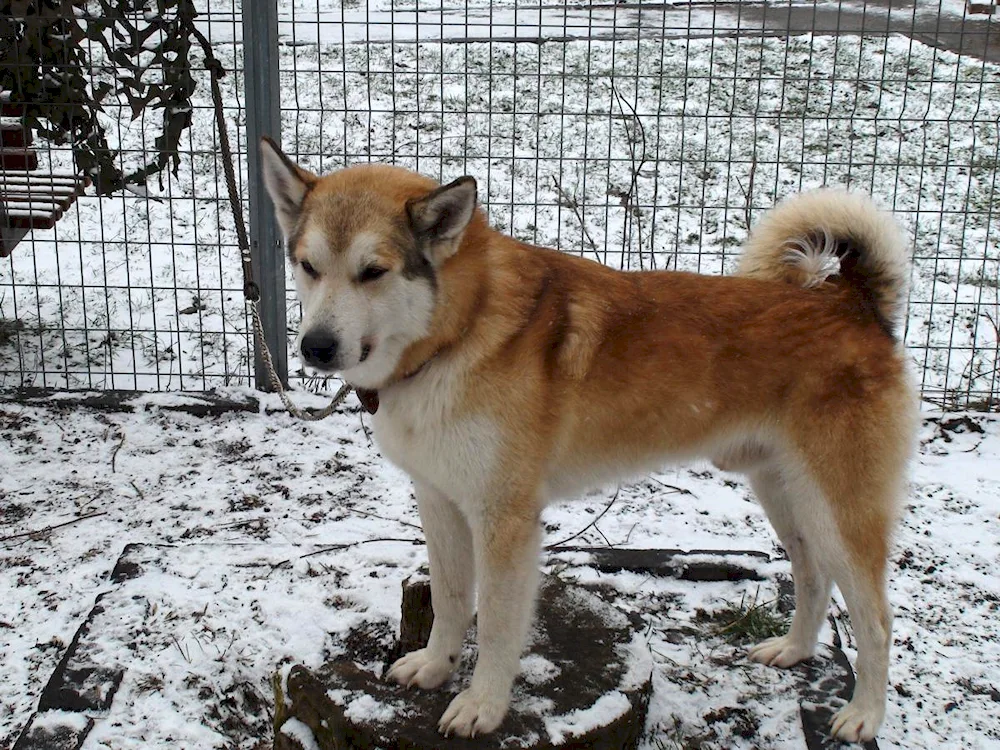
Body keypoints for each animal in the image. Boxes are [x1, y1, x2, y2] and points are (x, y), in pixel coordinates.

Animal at [262, 140, 916, 748]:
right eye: (308, 266)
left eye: (373, 271)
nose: (315, 347)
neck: (457, 332)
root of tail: (851, 304)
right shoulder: (440, 501)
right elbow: (448, 601)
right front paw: (434, 667)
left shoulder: (505, 521)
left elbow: (494, 624)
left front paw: (482, 706)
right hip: (786, 495)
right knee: (812, 576)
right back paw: (795, 651)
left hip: (839, 511)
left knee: (877, 620)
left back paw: (863, 715)